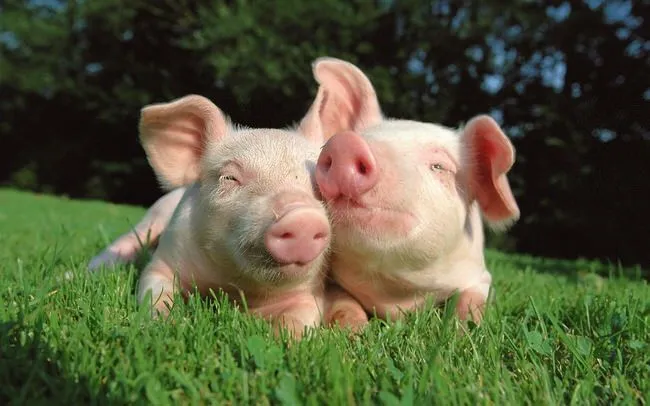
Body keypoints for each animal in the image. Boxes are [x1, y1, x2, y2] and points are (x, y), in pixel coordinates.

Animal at [303, 57, 521, 327]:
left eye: (439, 166)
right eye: (360, 137)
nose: (345, 144)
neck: (397, 295)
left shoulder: (480, 275)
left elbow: (472, 300)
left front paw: (464, 329)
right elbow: (343, 302)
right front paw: (354, 331)